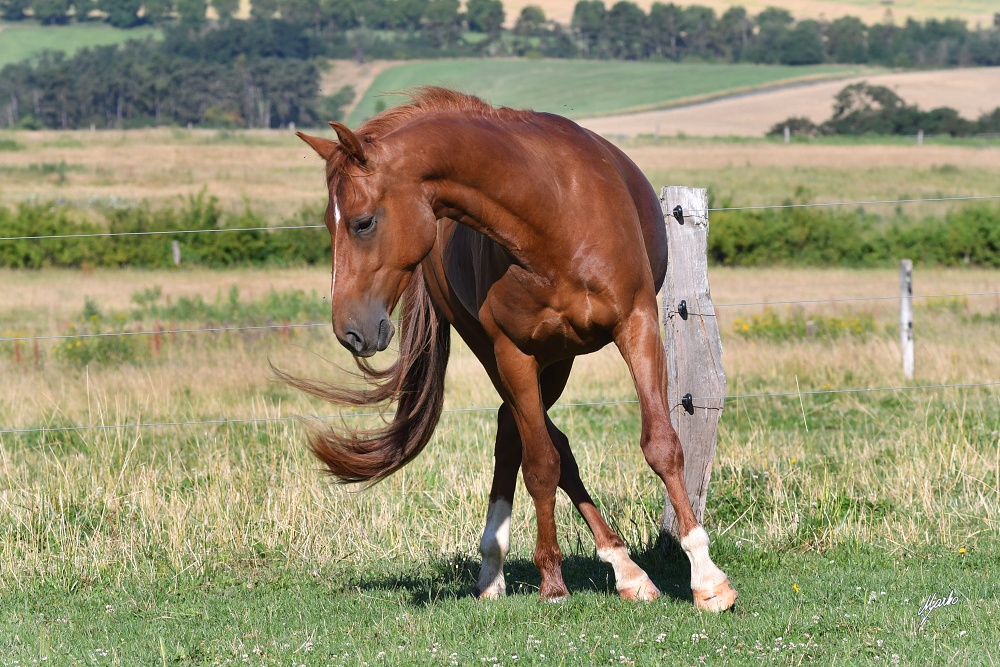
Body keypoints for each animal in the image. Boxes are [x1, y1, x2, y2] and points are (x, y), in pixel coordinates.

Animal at [286, 87, 740, 612]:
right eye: (328, 223)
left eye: (362, 223)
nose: (350, 331)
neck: (550, 215)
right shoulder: (514, 352)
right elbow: (540, 464)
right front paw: (553, 582)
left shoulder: (637, 324)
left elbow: (662, 445)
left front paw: (707, 578)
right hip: (506, 355)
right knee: (527, 438)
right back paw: (504, 569)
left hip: (560, 359)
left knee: (524, 431)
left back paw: (623, 570)